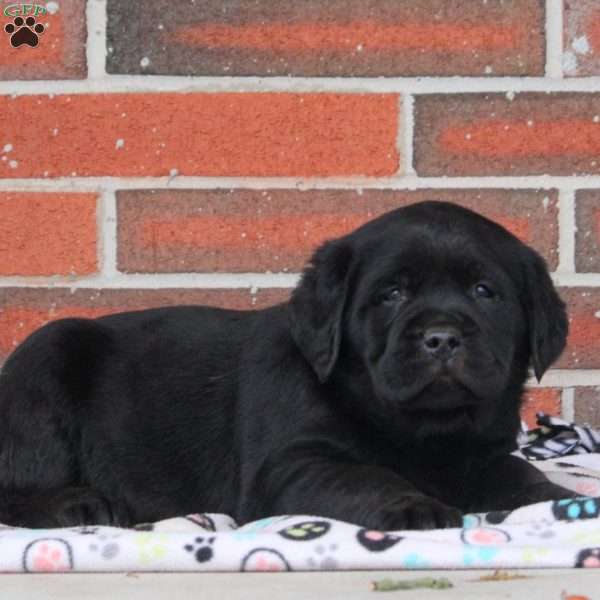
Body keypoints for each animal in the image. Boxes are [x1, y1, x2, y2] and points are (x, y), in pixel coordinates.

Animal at [0, 202, 576, 528]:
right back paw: (79, 506)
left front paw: (557, 498)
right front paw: (411, 506)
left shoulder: (483, 453)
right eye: (391, 294)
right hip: (45, 361)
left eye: (484, 292)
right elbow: (364, 476)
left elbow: (517, 469)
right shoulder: (293, 465)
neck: (425, 430)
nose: (442, 337)